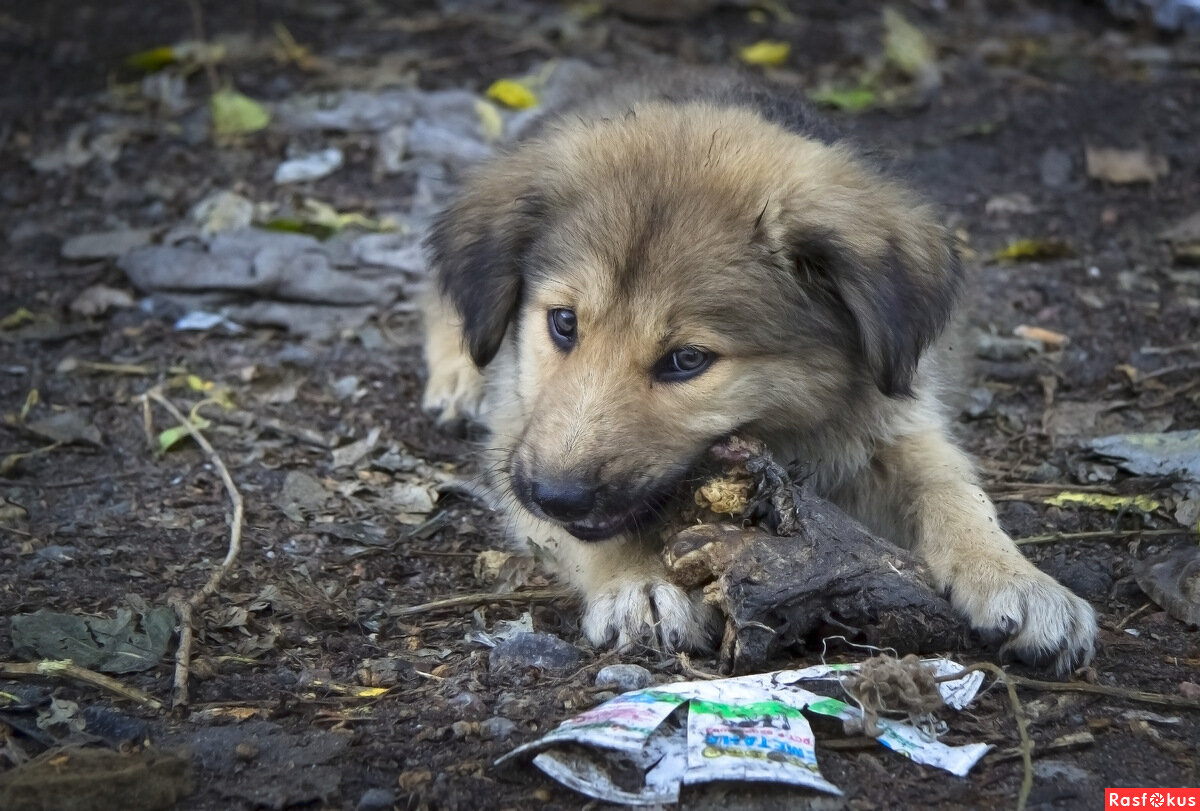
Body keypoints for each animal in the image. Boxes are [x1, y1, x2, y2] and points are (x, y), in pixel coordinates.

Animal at [420, 74, 1099, 671]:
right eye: (563, 323)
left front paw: (1017, 579)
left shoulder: (896, 421)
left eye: (687, 360)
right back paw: (456, 377)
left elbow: (954, 491)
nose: (556, 495)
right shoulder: (517, 431)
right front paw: (640, 582)